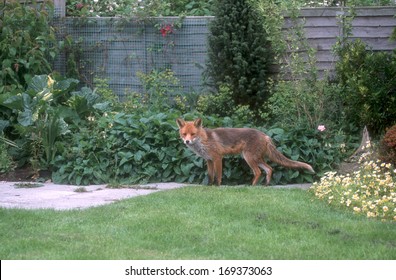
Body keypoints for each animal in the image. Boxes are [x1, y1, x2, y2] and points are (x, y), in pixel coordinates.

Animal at [176, 118, 316, 186]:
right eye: (184, 134)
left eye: (193, 134)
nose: (187, 141)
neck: (204, 140)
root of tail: (265, 135)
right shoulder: (209, 160)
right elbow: (210, 176)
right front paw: (209, 187)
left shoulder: (217, 158)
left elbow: (218, 176)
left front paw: (217, 187)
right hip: (256, 158)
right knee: (269, 169)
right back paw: (265, 186)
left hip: (249, 157)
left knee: (258, 172)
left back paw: (251, 186)